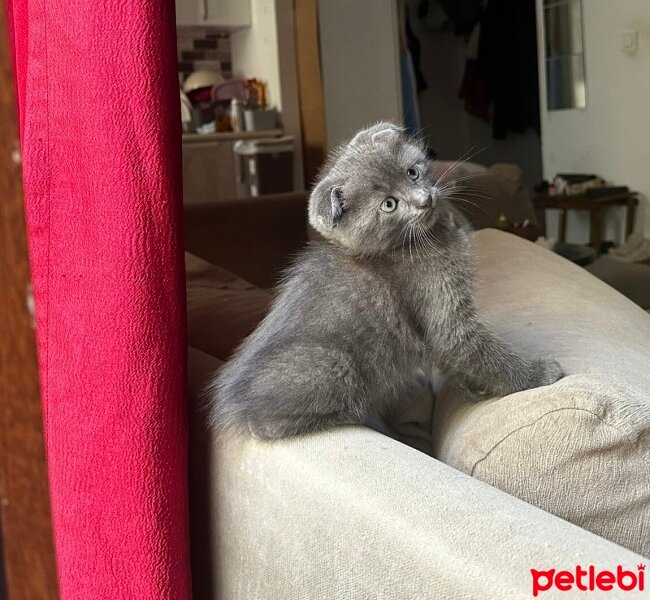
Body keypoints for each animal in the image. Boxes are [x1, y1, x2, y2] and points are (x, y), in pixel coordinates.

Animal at [208, 123, 560, 440]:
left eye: (412, 173)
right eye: (389, 204)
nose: (424, 200)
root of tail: (230, 407)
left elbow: (455, 360)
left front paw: (472, 388)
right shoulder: (444, 311)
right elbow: (476, 349)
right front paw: (538, 374)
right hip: (332, 363)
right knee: (267, 425)